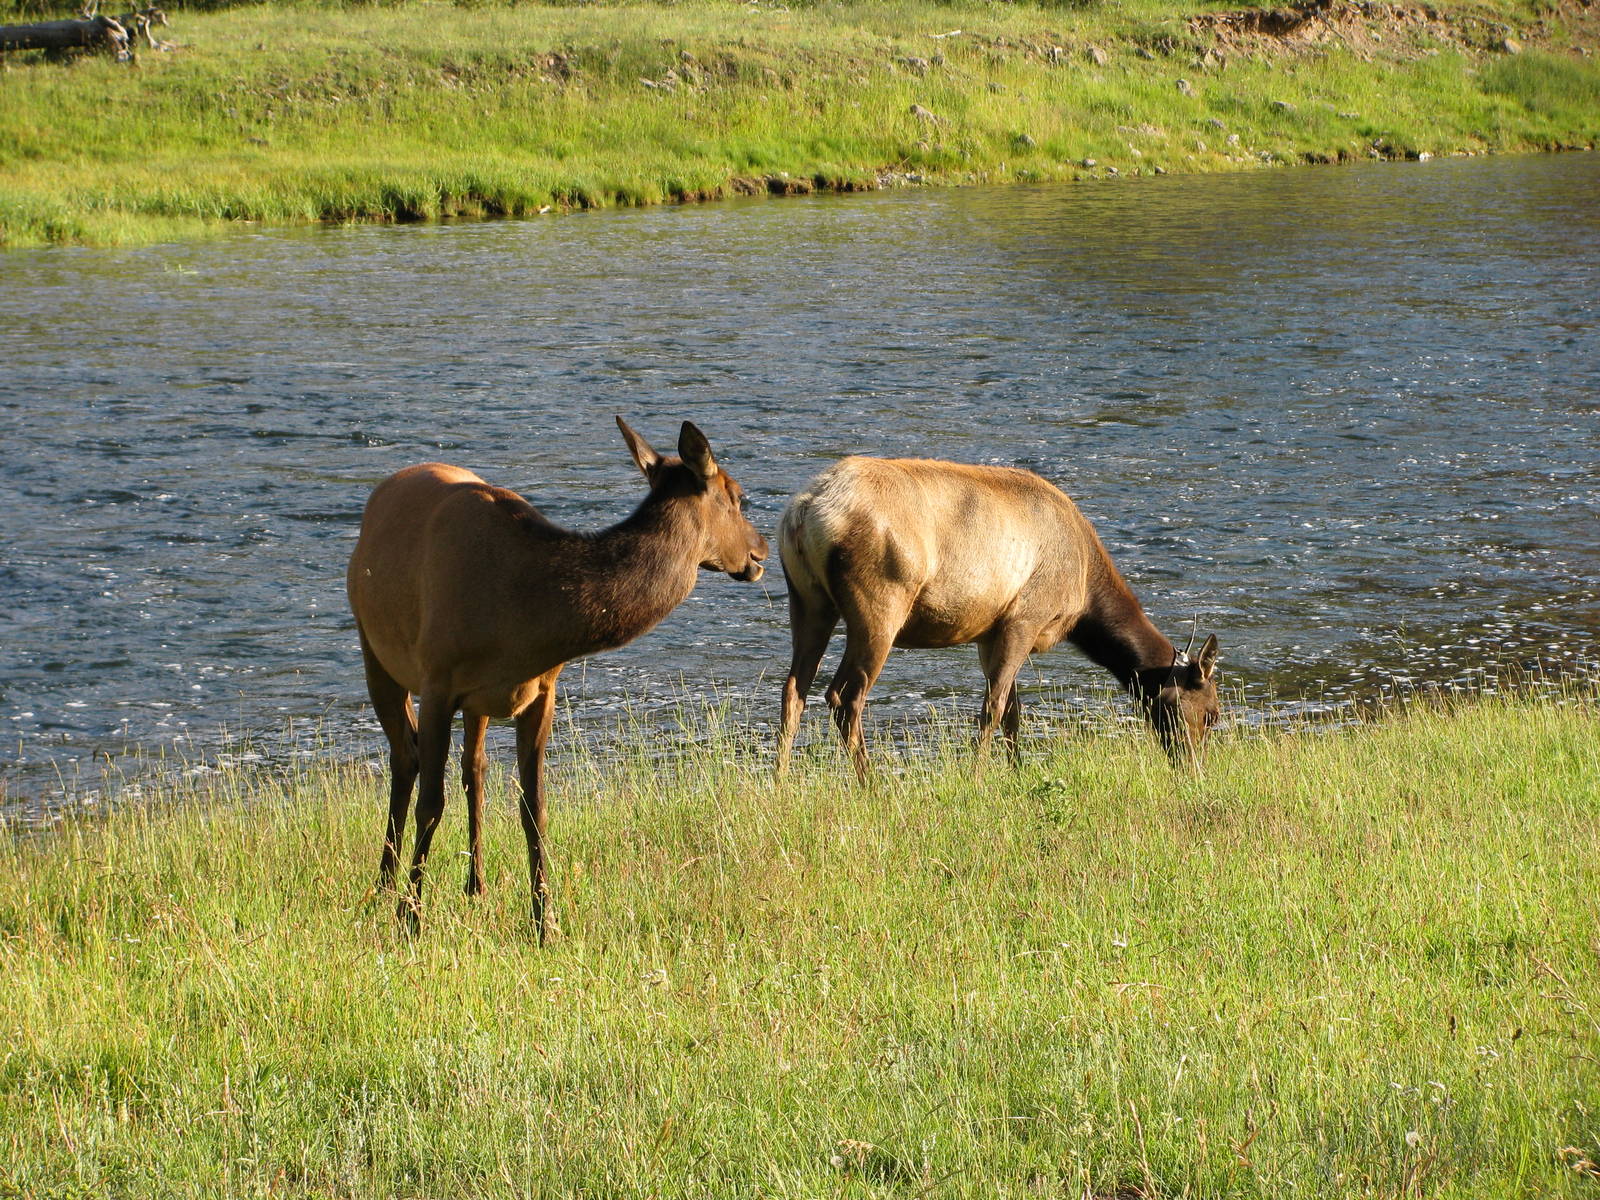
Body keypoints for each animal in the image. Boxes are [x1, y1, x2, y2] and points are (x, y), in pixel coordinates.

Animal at [347, 418, 768, 940]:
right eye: (737, 496)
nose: (760, 549)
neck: (523, 623)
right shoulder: (437, 680)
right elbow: (432, 803)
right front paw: (411, 919)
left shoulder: (542, 691)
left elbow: (534, 806)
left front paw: (545, 921)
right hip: (375, 648)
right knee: (405, 758)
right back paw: (383, 888)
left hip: (476, 704)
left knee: (474, 768)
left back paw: (475, 884)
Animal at [775, 456, 1220, 778]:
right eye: (1211, 714)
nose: (1196, 771)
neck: (1084, 598)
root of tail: (805, 511)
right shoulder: (1025, 617)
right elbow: (993, 708)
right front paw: (978, 777)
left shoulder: (991, 631)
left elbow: (1013, 713)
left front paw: (1018, 773)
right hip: (880, 605)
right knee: (844, 696)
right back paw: (870, 784)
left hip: (807, 600)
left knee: (794, 689)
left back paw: (780, 782)